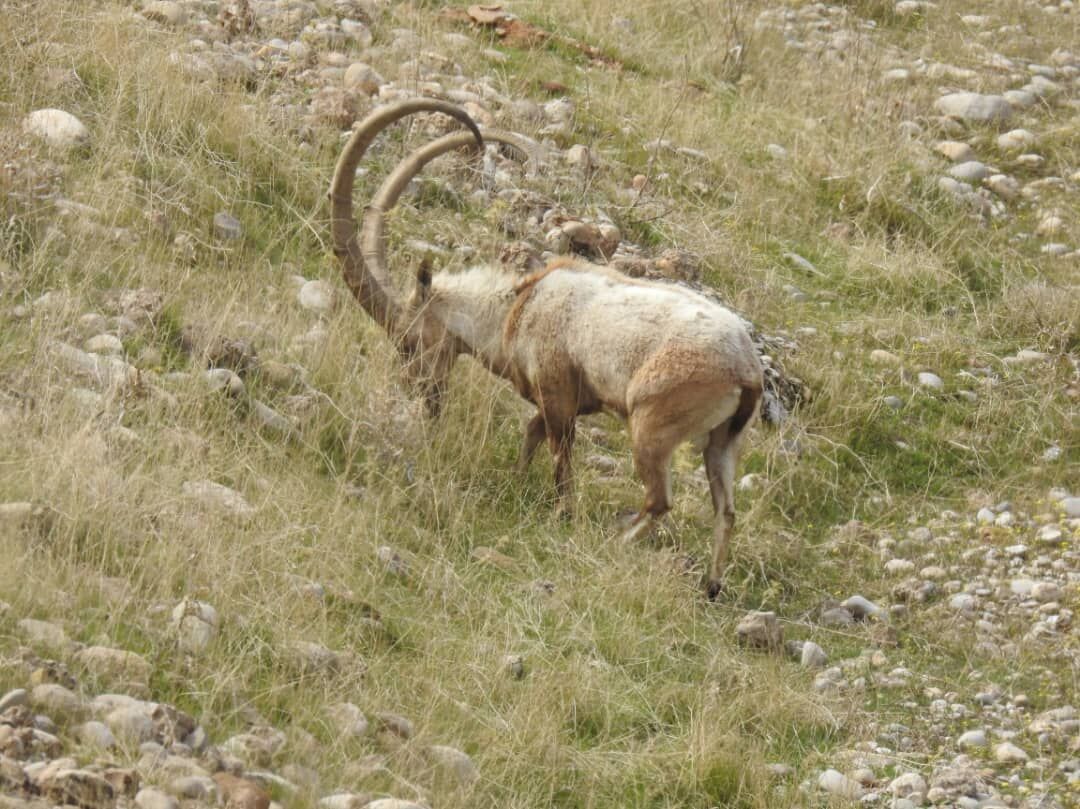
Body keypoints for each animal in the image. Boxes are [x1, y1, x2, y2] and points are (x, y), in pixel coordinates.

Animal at [326, 99, 760, 591]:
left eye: (410, 341)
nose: (423, 396)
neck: (516, 310)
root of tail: (747, 372)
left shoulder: (558, 394)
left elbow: (559, 458)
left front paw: (560, 515)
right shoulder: (571, 401)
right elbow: (532, 432)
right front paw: (516, 481)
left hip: (653, 426)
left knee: (659, 499)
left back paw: (616, 543)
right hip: (723, 443)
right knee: (726, 510)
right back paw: (712, 584)